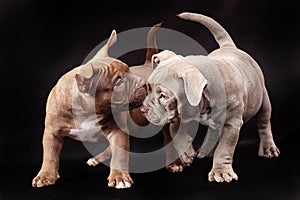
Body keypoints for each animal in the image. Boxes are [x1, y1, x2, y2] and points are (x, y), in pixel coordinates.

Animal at [31, 23, 161, 189]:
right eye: (119, 82)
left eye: (129, 70)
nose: (145, 84)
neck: (85, 112)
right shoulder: (52, 132)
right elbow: (50, 155)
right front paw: (45, 175)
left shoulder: (118, 131)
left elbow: (119, 156)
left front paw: (119, 177)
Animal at [142, 11, 280, 182]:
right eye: (147, 88)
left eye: (163, 96)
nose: (143, 110)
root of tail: (229, 47)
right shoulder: (184, 112)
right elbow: (175, 130)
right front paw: (186, 152)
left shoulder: (232, 124)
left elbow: (225, 148)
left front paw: (221, 172)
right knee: (213, 131)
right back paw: (207, 150)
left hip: (263, 99)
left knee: (264, 122)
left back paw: (268, 148)